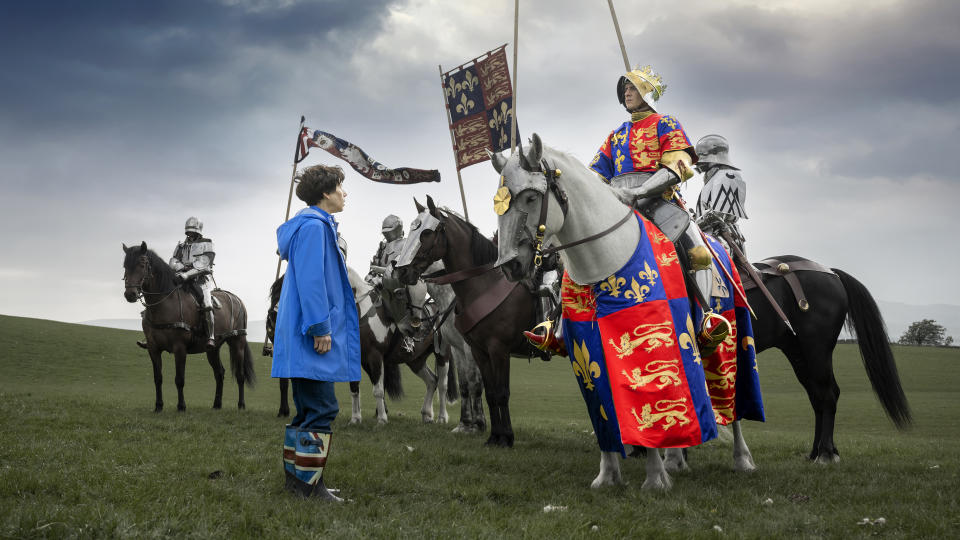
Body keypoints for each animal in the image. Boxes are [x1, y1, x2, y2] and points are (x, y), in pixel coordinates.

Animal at [121, 243, 255, 412]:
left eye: (142, 264)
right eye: (125, 266)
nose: (130, 294)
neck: (164, 304)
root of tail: (237, 300)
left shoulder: (180, 348)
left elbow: (179, 379)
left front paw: (181, 406)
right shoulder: (153, 348)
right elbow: (158, 378)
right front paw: (158, 406)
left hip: (237, 342)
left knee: (240, 375)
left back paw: (241, 405)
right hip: (213, 349)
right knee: (219, 373)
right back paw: (216, 405)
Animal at [496, 134, 756, 490]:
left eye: (531, 196)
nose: (509, 265)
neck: (605, 258)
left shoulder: (645, 345)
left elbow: (645, 399)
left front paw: (655, 478)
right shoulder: (586, 350)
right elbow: (602, 407)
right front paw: (608, 475)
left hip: (727, 335)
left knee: (733, 400)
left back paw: (741, 459)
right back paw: (676, 458)